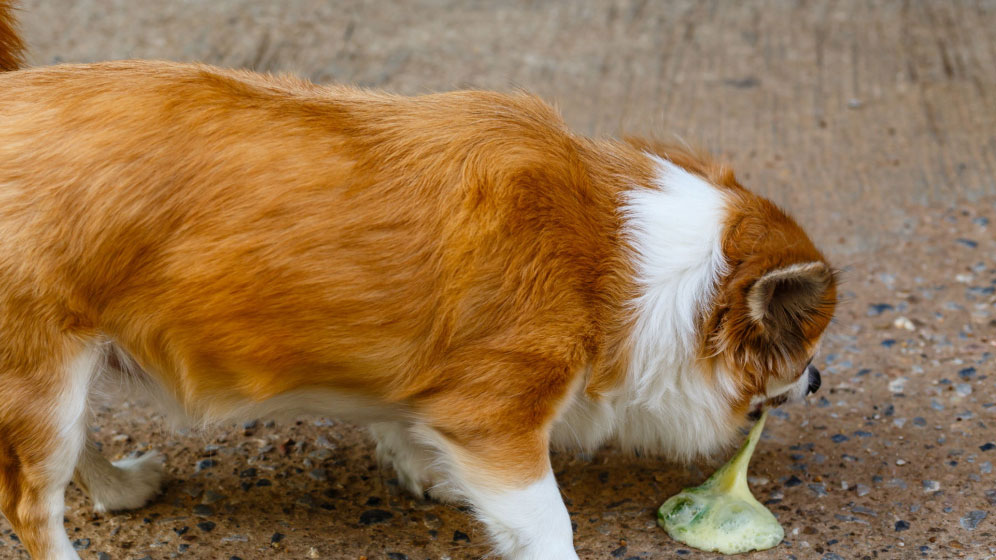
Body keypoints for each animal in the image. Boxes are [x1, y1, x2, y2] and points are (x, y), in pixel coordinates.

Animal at [0, 5, 836, 560]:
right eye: (802, 344)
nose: (819, 379)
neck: (615, 257)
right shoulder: (499, 420)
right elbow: (548, 522)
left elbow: (408, 424)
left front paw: (422, 466)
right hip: (43, 375)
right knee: (30, 505)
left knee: (73, 452)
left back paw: (119, 489)